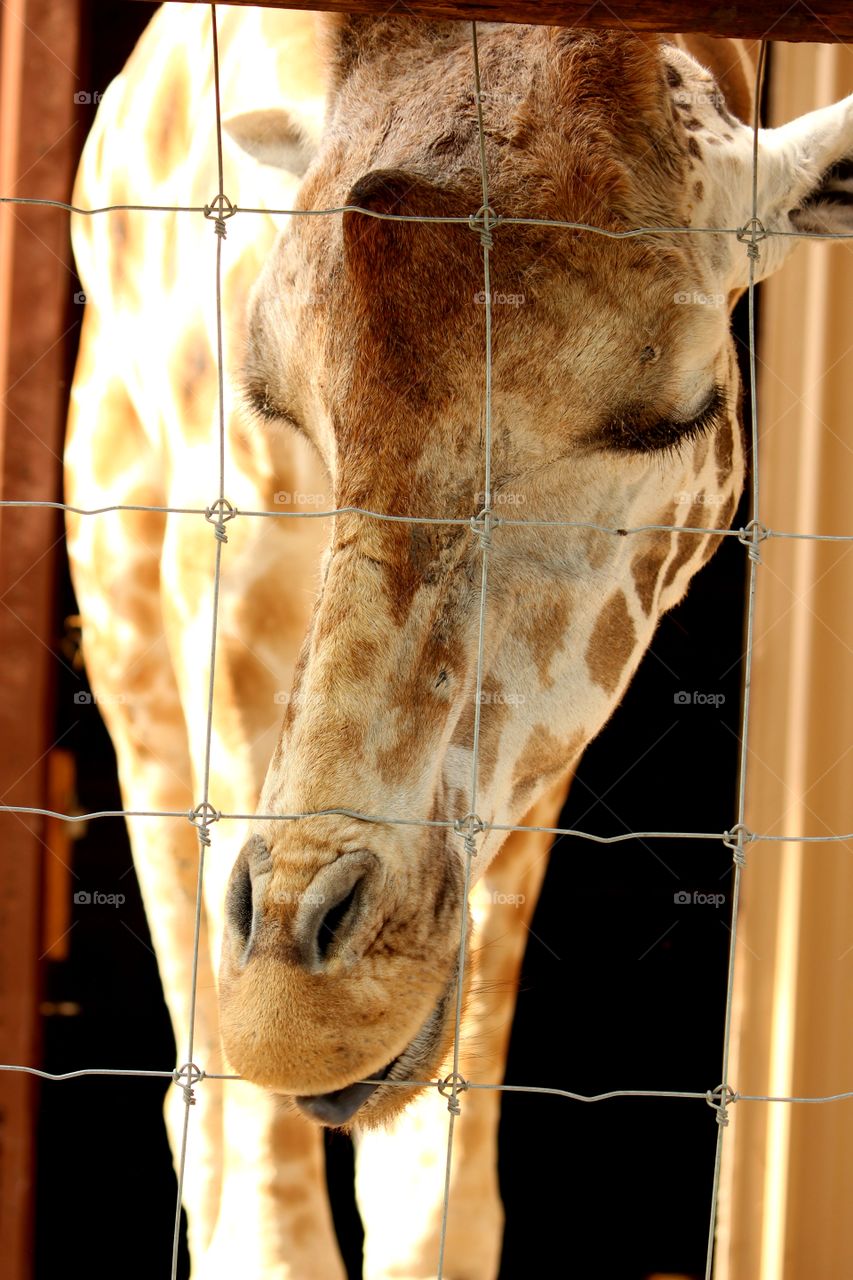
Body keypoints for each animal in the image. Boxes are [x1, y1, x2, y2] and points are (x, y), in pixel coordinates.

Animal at [64, 5, 853, 1277]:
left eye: (675, 416)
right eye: (276, 399)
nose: (307, 1012)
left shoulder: (545, 749)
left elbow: (437, 1200)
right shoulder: (225, 552)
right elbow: (266, 1215)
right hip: (119, 567)